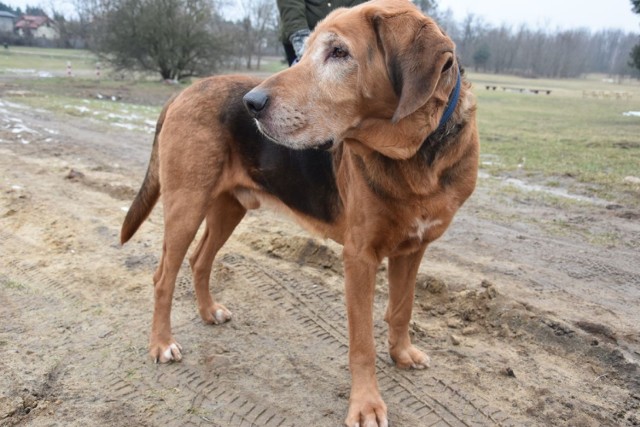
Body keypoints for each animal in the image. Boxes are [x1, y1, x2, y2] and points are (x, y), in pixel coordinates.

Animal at [122, 0, 478, 424]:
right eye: (304, 52)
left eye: (339, 52)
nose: (252, 104)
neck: (416, 156)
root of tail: (182, 93)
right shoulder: (359, 257)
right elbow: (362, 344)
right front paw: (366, 404)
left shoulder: (413, 249)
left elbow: (402, 309)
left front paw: (402, 354)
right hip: (186, 205)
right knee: (163, 276)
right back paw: (162, 344)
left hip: (228, 207)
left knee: (199, 260)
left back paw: (209, 312)